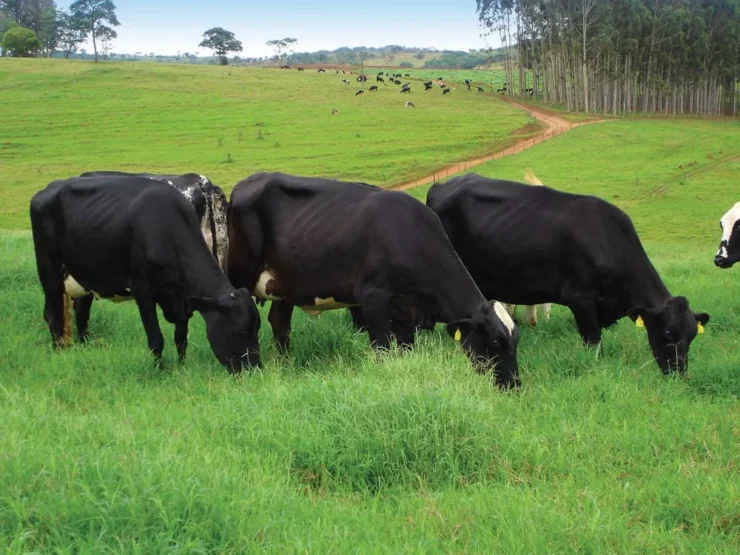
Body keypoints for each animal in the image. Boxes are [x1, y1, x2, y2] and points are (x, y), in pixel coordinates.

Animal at [30, 175, 261, 370]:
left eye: (257, 327)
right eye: (240, 330)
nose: (254, 369)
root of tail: (46, 190)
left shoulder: (183, 298)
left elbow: (181, 338)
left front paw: (181, 367)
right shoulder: (142, 291)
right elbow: (156, 339)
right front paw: (159, 371)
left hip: (84, 276)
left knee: (81, 312)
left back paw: (85, 346)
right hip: (49, 273)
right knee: (54, 316)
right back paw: (58, 354)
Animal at [228, 173, 521, 389]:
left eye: (516, 340)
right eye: (496, 342)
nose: (514, 386)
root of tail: (250, 179)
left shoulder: (407, 312)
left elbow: (405, 349)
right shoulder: (373, 299)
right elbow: (382, 349)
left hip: (285, 285)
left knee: (280, 322)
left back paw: (285, 365)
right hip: (239, 273)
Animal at [427, 174, 710, 376]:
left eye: (692, 336)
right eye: (668, 334)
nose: (679, 374)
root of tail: (442, 184)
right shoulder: (581, 299)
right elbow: (594, 343)